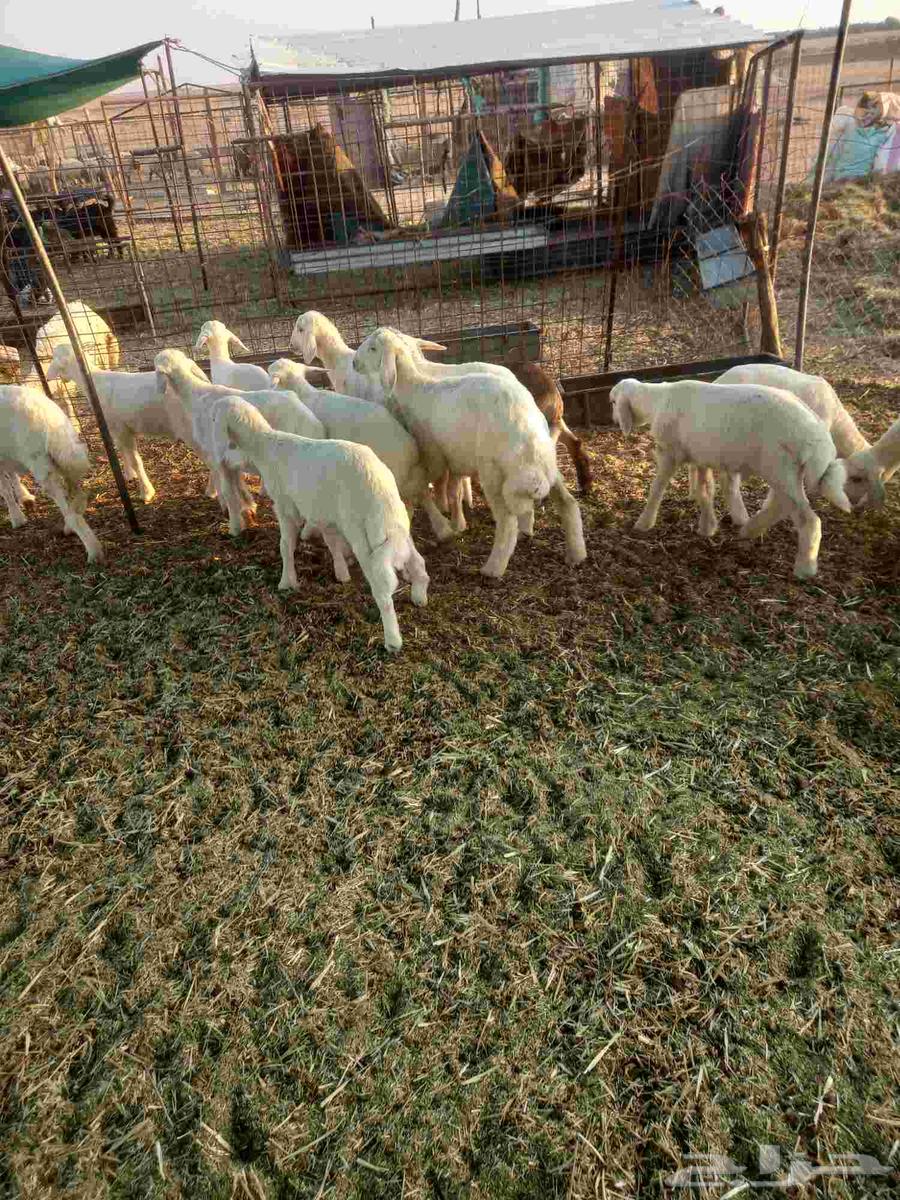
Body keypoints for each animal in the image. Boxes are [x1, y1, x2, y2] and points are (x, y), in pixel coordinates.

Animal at [0, 384, 102, 563]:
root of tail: (48, 418)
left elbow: (5, 490)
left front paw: (17, 517)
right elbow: (11, 476)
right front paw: (24, 497)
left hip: (42, 465)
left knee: (71, 511)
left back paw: (93, 551)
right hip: (66, 457)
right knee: (78, 495)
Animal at [206, 395, 429, 651]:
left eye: (214, 417)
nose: (223, 459)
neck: (265, 447)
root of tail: (380, 489)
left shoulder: (285, 505)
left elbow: (285, 544)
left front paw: (287, 581)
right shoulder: (324, 512)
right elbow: (331, 542)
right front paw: (341, 573)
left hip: (362, 533)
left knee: (382, 587)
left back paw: (392, 640)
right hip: (395, 526)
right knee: (418, 561)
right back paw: (419, 594)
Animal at [267, 358, 456, 542]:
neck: (303, 393)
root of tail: (409, 447)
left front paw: (308, 530)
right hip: (408, 474)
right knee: (421, 493)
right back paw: (443, 529)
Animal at [352, 328, 586, 578]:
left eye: (373, 348)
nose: (355, 363)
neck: (416, 386)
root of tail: (527, 434)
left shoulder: (433, 452)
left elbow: (432, 486)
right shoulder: (455, 456)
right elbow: (453, 489)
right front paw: (456, 520)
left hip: (493, 472)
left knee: (507, 521)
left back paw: (493, 568)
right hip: (548, 461)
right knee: (568, 503)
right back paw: (576, 553)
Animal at [610, 378, 852, 579]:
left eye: (612, 401)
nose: (613, 420)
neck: (656, 401)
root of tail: (819, 438)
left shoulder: (670, 453)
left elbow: (657, 487)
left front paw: (643, 523)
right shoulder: (701, 457)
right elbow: (704, 490)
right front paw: (707, 527)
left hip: (779, 467)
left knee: (805, 517)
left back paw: (804, 568)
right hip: (786, 471)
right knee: (782, 504)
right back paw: (749, 529)